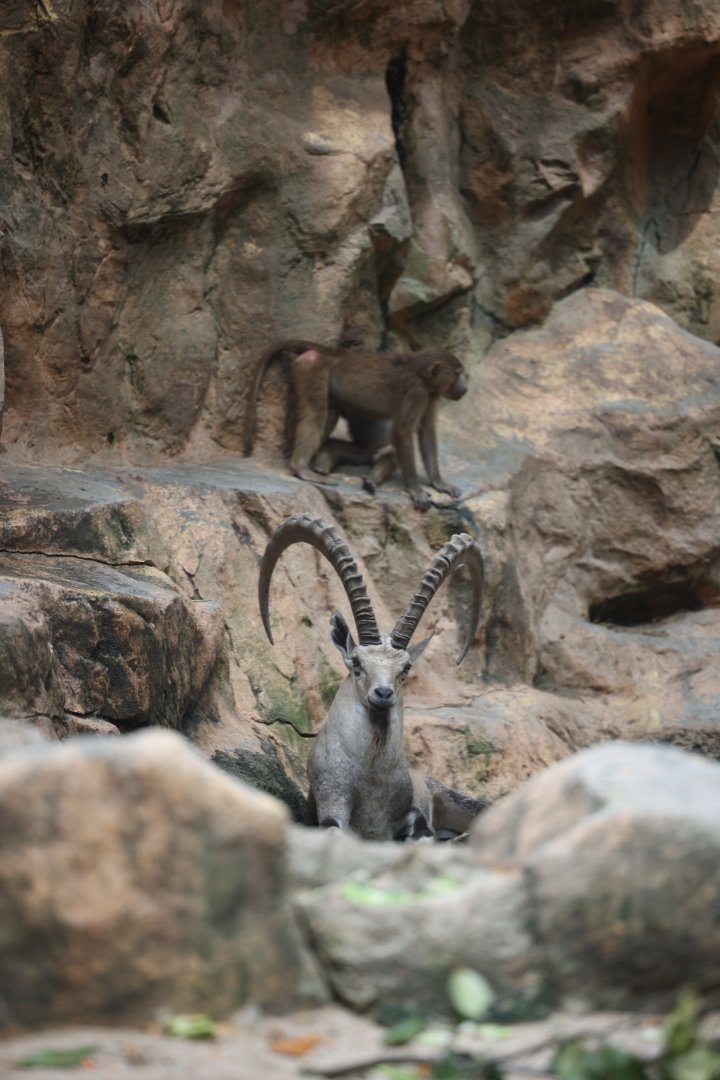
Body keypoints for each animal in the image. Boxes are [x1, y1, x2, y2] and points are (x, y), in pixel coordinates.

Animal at [258, 513, 487, 841]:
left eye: (405, 668)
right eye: (356, 662)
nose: (383, 694)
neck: (371, 780)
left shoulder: (409, 811)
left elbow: (422, 832)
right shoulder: (331, 803)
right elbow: (334, 829)